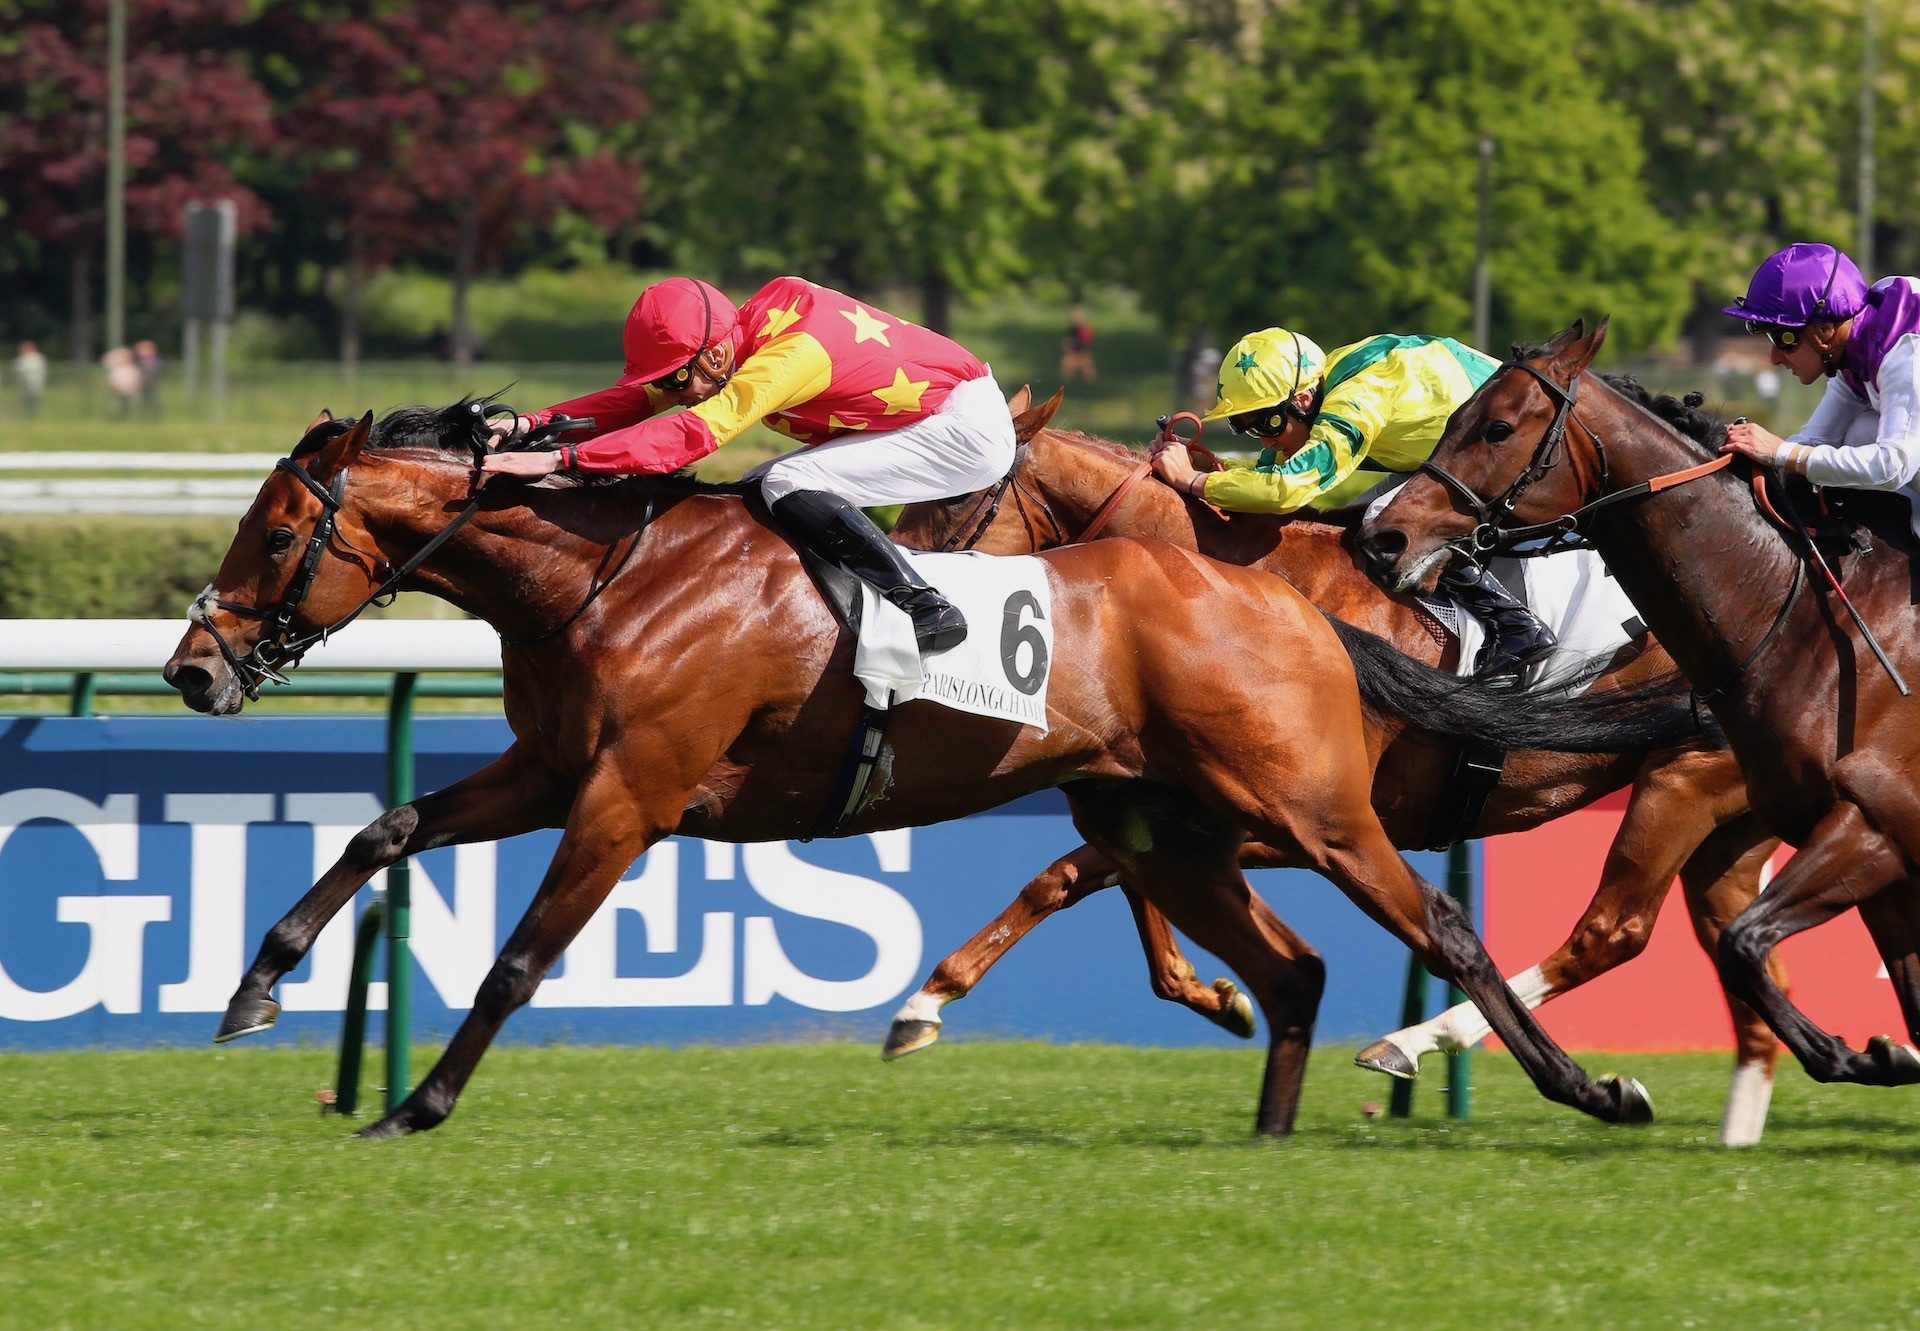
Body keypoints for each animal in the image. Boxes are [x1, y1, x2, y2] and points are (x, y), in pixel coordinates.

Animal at [165, 399, 1658, 1137]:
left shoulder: (629, 793)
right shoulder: (551, 767)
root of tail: (1293, 608)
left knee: (1449, 924)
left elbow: (519, 959)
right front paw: (254, 986)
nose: (192, 669)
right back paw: (1272, 1131)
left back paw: (1590, 1087)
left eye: (278, 528)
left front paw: (415, 1103)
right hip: (1172, 820)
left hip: (1312, 806)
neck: (608, 575)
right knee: (1290, 968)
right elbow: (384, 829)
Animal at [883, 405, 1781, 1144]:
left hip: (1683, 783)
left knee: (1613, 930)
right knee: (1739, 942)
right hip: (1733, 819)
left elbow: (1073, 872)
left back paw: (1418, 1042)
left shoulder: (1315, 813)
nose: (903, 578)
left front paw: (928, 999)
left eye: (956, 498)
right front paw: (1213, 993)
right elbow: (1103, 873)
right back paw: (1761, 1105)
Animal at [1359, 322, 1920, 1090]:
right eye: (1449, 420)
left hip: (1685, 784)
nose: (1384, 538)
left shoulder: (1872, 824)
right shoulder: (1867, 846)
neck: (1806, 616)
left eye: (1498, 427)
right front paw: (1867, 1053)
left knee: (1618, 928)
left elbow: (1740, 946)